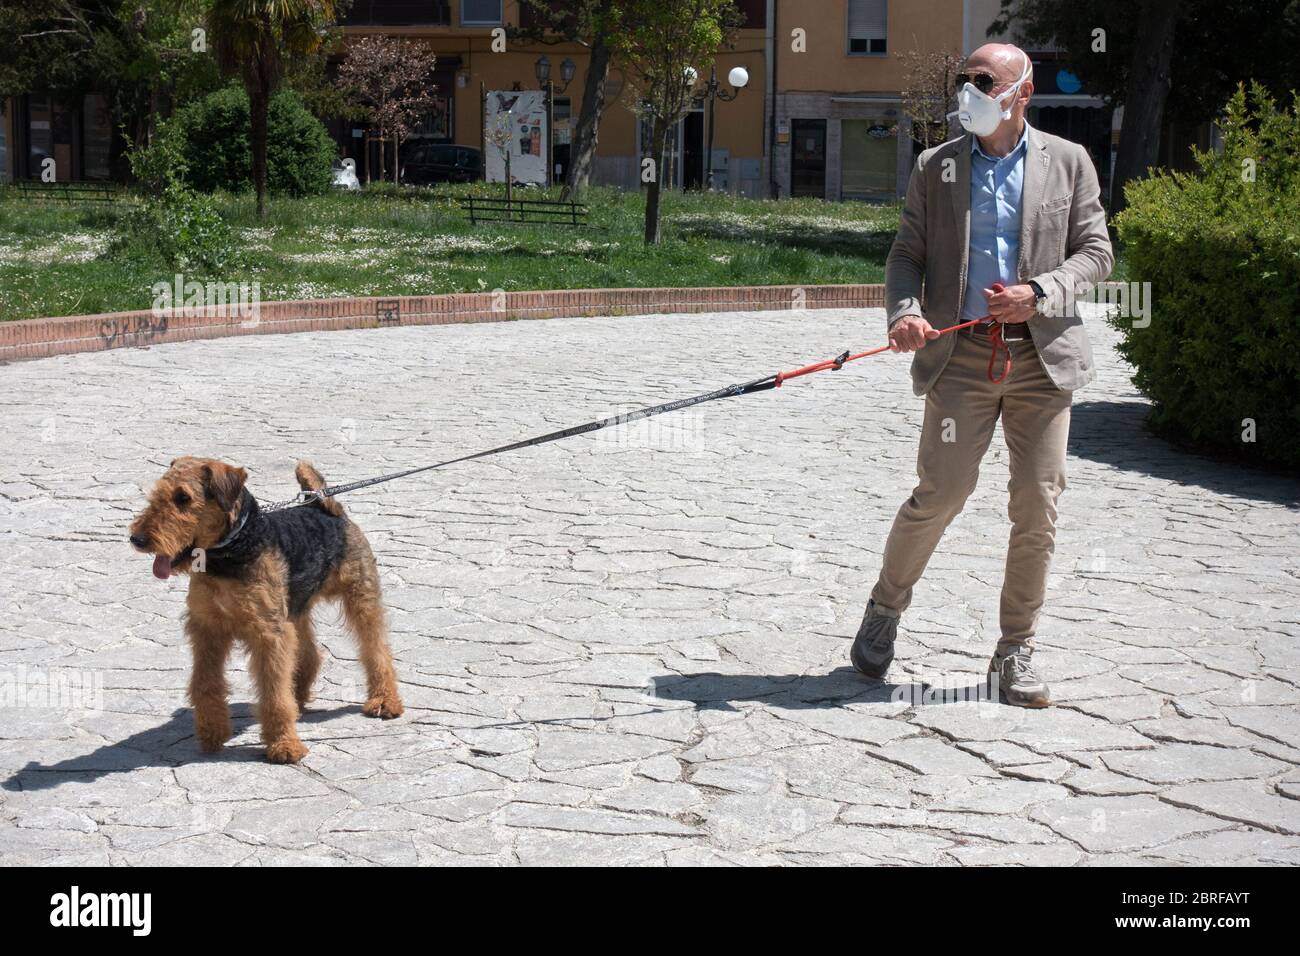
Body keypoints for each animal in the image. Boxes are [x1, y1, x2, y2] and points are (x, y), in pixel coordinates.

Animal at [129, 460, 400, 764]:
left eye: (183, 498)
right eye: (159, 492)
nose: (137, 538)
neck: (230, 554)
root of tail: (325, 507)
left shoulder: (268, 633)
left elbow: (273, 694)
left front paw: (284, 745)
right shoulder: (207, 628)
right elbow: (205, 683)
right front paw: (212, 732)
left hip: (360, 599)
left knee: (376, 650)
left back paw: (385, 701)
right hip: (295, 610)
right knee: (310, 655)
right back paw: (298, 699)